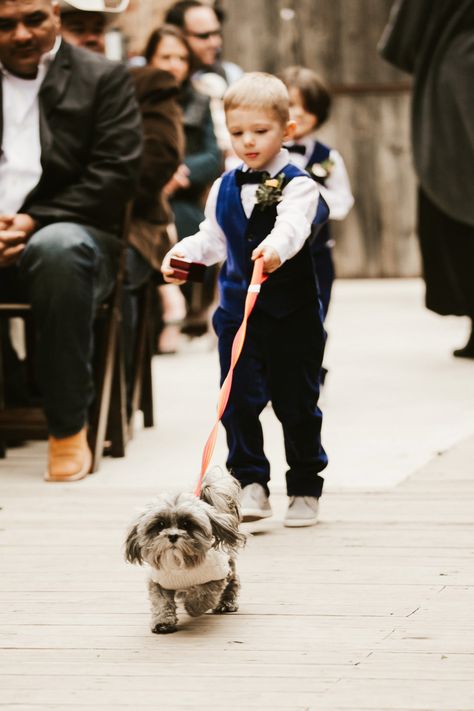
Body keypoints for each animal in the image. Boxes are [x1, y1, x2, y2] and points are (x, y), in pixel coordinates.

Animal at [125, 468, 244, 636]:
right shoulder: (158, 582)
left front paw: (193, 607)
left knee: (232, 583)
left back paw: (226, 603)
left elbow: (204, 593)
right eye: (160, 524)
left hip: (228, 566)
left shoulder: (216, 576)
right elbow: (161, 602)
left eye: (187, 524)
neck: (179, 566)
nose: (172, 536)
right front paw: (162, 622)